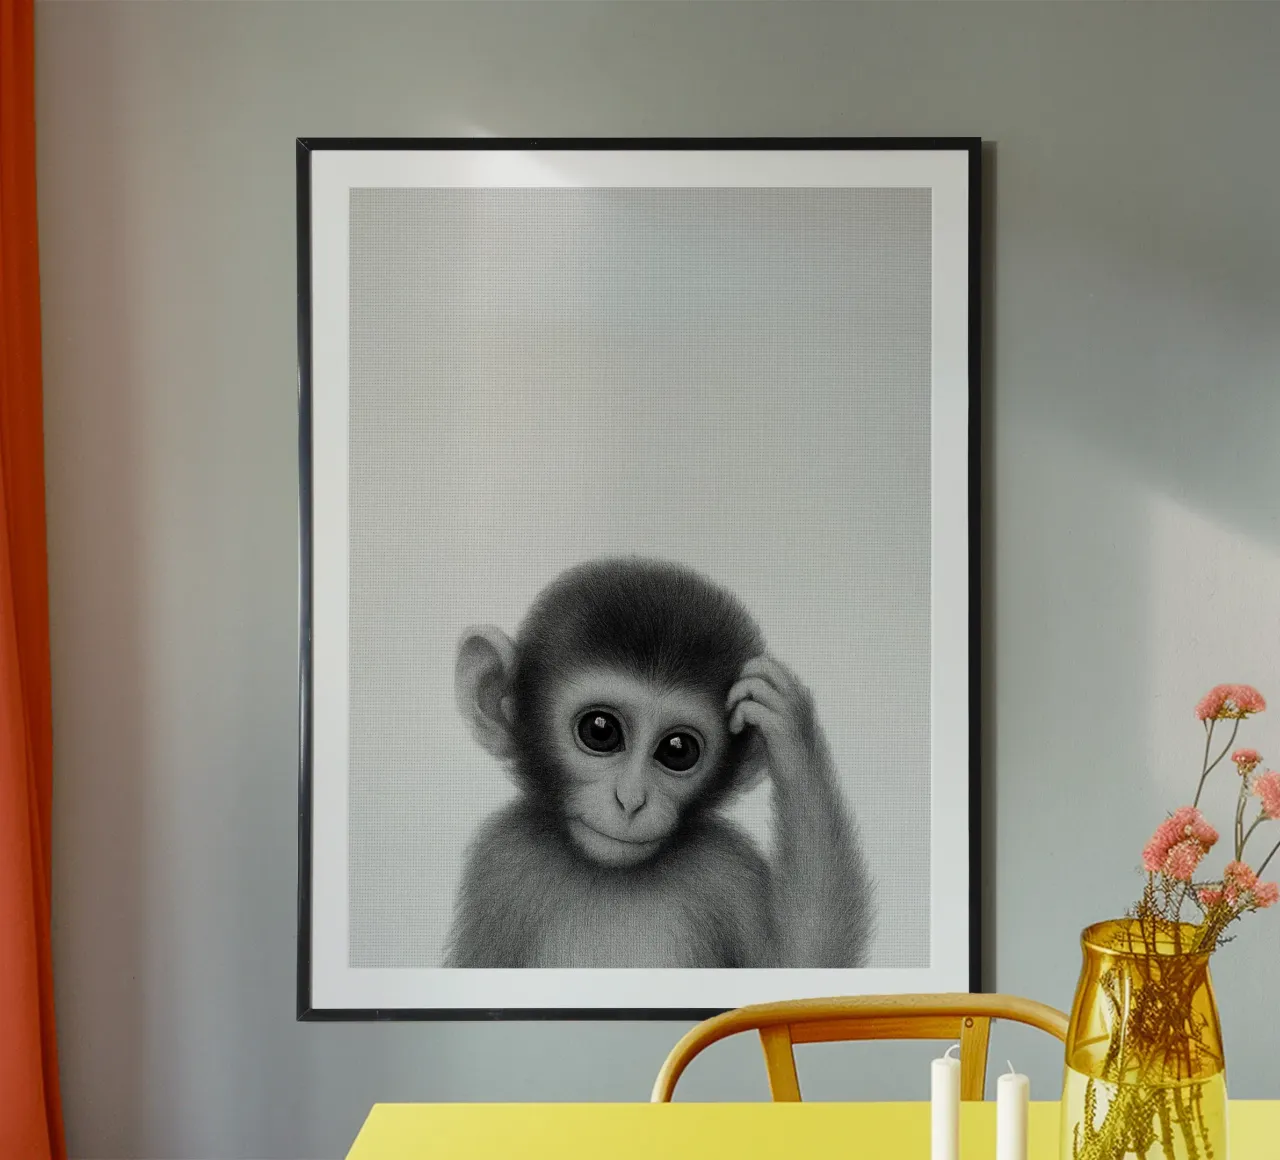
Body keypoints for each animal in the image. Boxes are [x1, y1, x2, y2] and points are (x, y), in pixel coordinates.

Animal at [444, 557, 874, 969]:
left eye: (677, 750)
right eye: (600, 730)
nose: (631, 800)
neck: (612, 876)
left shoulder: (728, 865)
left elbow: (799, 962)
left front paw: (789, 726)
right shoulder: (501, 862)